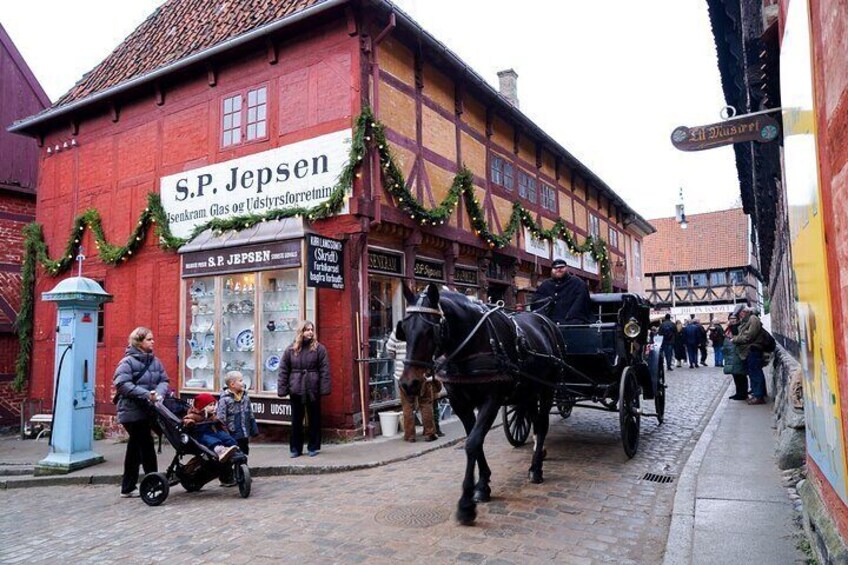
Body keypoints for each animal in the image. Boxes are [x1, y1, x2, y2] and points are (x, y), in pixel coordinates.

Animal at [398, 284, 564, 528]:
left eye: (431, 330)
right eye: (403, 328)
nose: (409, 383)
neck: (473, 344)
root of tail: (545, 320)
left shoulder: (491, 401)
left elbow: (472, 443)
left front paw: (466, 505)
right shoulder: (460, 404)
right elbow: (475, 442)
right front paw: (483, 486)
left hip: (547, 388)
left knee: (542, 425)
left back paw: (536, 469)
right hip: (527, 391)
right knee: (533, 421)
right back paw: (538, 454)